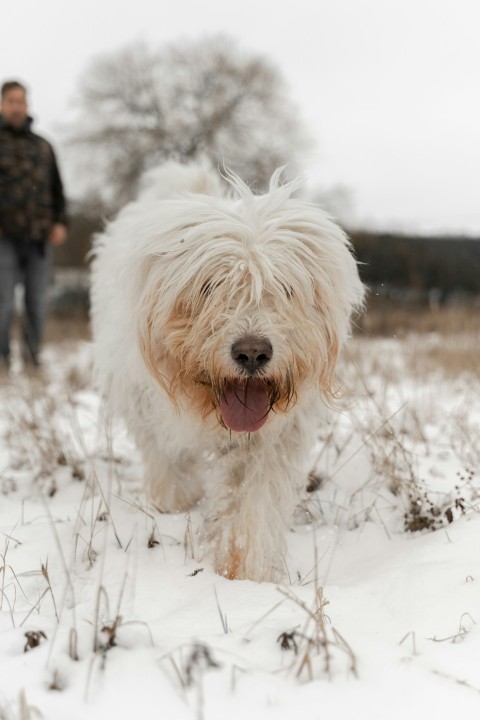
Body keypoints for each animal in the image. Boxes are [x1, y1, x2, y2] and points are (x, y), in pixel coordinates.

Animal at [91, 162, 364, 580]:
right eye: (210, 286)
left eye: (285, 289)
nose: (252, 353)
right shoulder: (144, 406)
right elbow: (166, 458)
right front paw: (175, 502)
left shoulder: (269, 442)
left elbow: (253, 504)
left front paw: (244, 570)